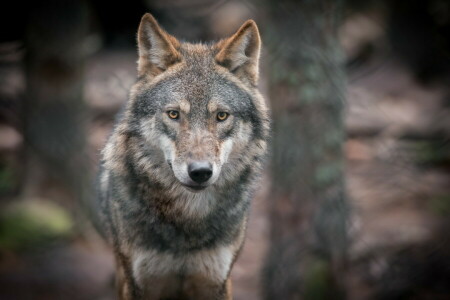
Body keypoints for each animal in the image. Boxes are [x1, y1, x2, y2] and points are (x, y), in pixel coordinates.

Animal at [94, 12, 268, 300]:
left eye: (222, 116)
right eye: (174, 114)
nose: (200, 172)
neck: (188, 220)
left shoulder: (216, 281)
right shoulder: (138, 283)